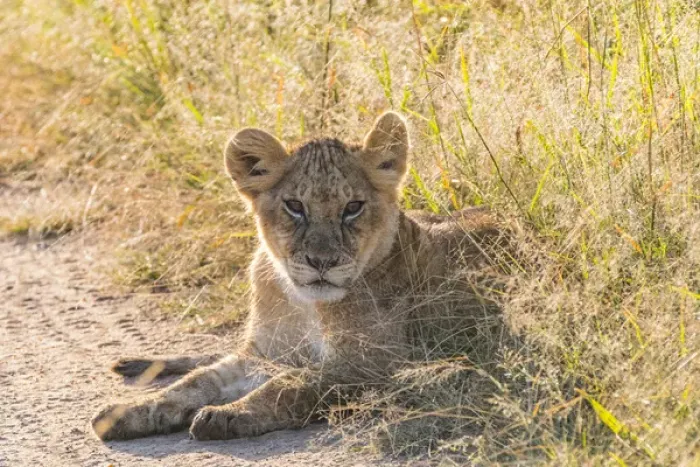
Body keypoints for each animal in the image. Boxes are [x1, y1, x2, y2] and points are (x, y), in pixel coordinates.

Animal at [91, 112, 506, 441]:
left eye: (353, 207)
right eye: (294, 206)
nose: (322, 261)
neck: (305, 305)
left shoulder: (372, 363)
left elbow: (292, 385)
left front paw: (227, 414)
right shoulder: (264, 353)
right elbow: (196, 382)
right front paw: (130, 412)